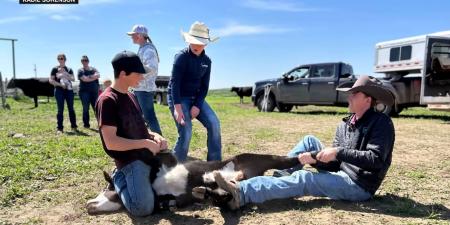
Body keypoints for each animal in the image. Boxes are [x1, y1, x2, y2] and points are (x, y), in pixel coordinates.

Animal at [87, 152, 298, 214]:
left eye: (107, 187)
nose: (88, 204)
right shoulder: (178, 199)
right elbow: (171, 204)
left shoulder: (166, 159)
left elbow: (155, 154)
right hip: (231, 192)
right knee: (225, 196)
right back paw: (209, 187)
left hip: (264, 158)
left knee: (289, 160)